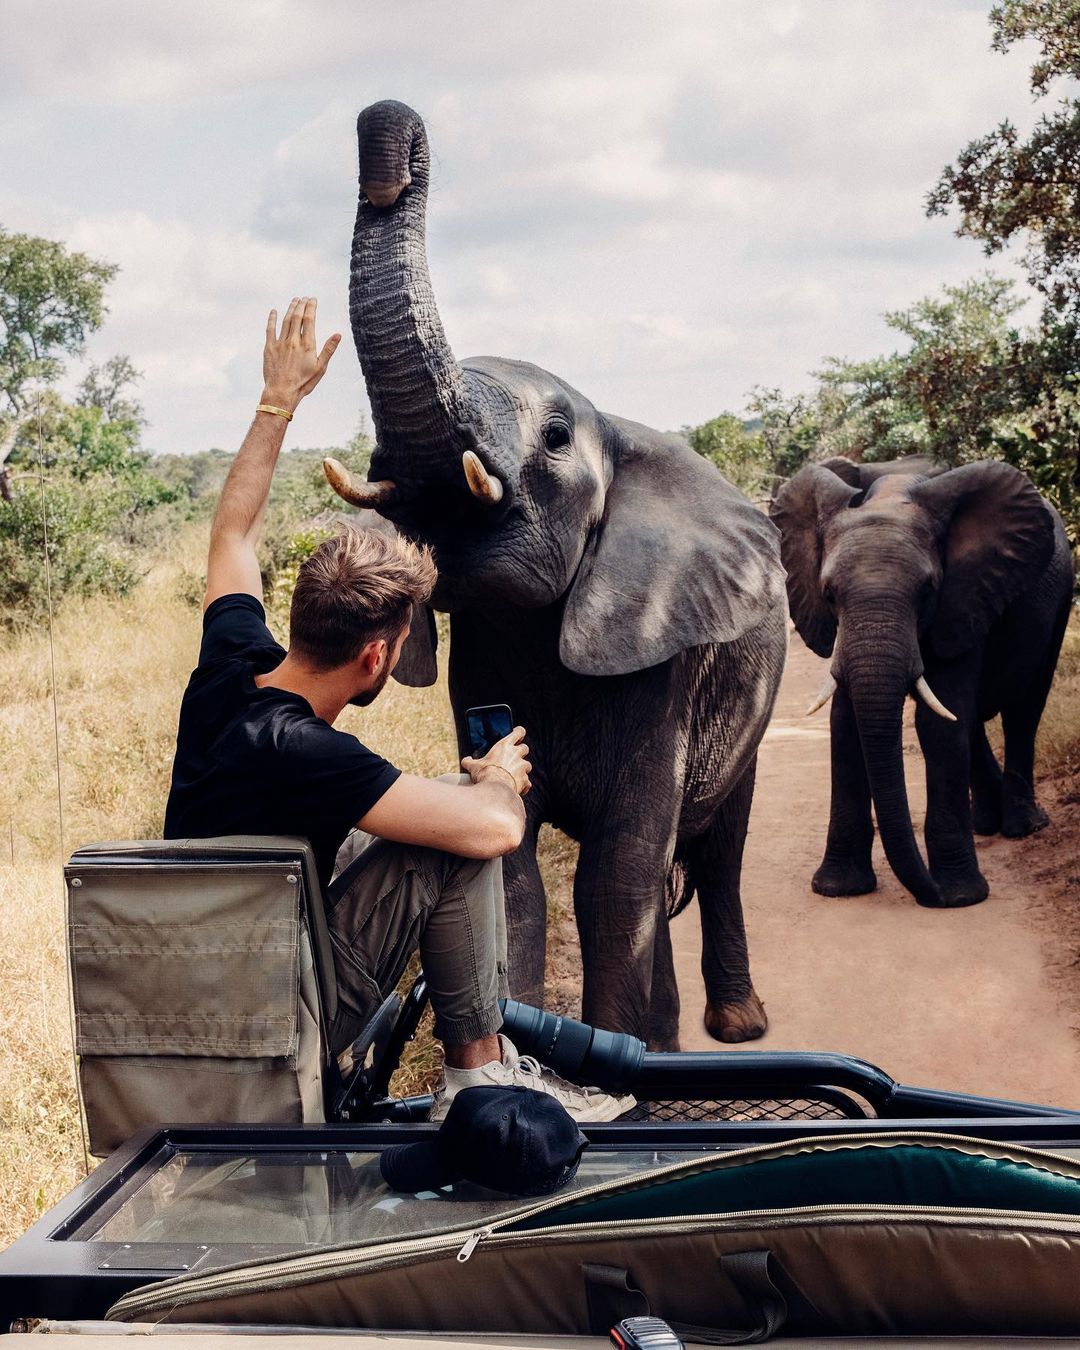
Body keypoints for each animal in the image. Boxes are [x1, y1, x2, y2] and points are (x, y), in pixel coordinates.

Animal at [321, 99, 783, 1047]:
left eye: (560, 437)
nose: (387, 132)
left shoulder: (661, 656)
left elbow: (617, 878)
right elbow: (515, 866)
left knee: (718, 850)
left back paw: (733, 1029)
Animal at [766, 453, 1069, 907]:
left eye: (927, 590)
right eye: (829, 594)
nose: (933, 896)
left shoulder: (964, 595)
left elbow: (937, 725)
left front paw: (960, 897)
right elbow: (847, 724)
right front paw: (838, 890)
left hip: (1059, 605)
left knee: (1023, 711)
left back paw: (1023, 827)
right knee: (971, 720)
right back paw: (985, 825)